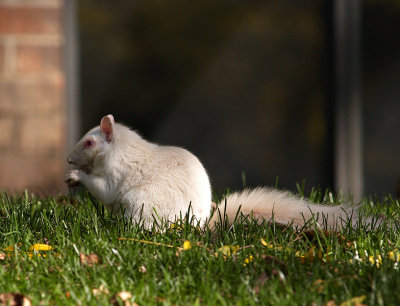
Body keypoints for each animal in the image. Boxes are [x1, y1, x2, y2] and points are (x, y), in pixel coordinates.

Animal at [65, 114, 362, 230]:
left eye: (89, 142)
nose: (68, 159)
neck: (118, 148)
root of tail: (200, 224)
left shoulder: (115, 172)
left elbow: (105, 191)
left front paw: (77, 177)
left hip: (143, 205)